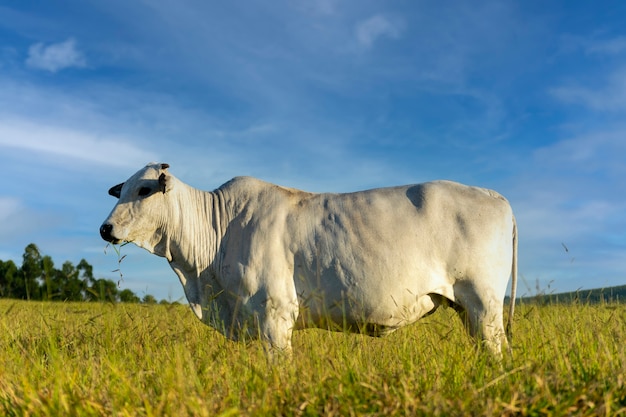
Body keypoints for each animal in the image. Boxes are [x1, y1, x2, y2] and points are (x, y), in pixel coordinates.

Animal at [98, 163, 516, 358]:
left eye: (144, 189)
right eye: (124, 189)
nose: (105, 228)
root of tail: (494, 195)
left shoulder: (275, 313)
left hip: (484, 305)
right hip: (469, 310)